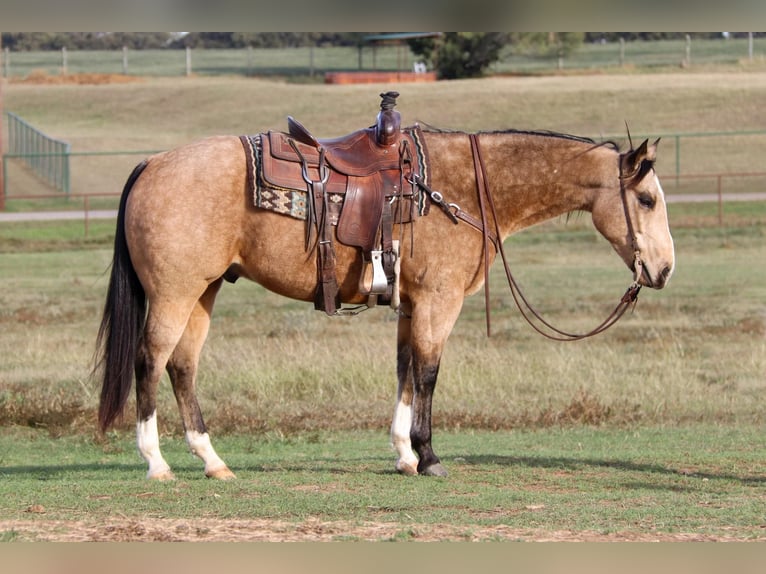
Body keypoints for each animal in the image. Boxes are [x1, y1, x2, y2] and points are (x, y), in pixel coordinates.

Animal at [93, 95, 676, 482]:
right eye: (646, 199)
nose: (665, 269)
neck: (465, 185)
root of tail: (152, 163)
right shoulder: (439, 302)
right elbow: (429, 373)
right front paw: (430, 456)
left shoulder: (410, 304)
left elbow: (404, 371)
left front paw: (404, 454)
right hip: (174, 294)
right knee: (151, 360)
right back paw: (157, 462)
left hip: (204, 291)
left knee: (182, 365)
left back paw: (212, 461)